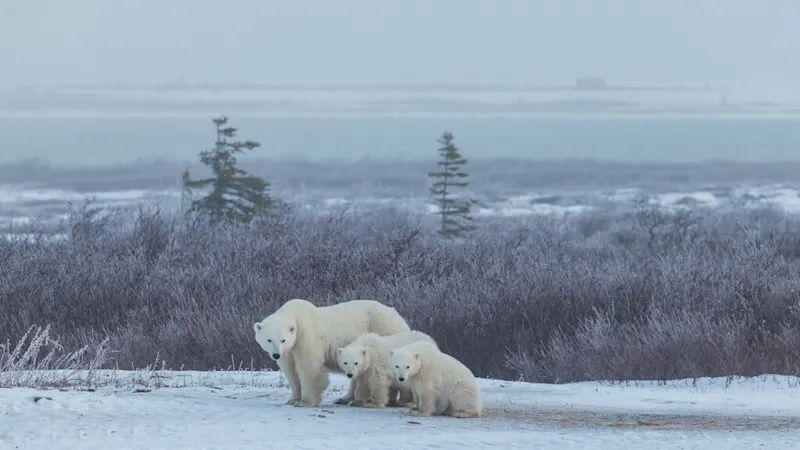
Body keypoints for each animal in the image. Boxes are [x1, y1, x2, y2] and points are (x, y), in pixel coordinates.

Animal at [253, 298, 410, 408]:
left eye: (283, 340)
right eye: (269, 339)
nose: (275, 355)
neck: (295, 314)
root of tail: (398, 315)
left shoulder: (306, 335)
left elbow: (309, 367)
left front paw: (305, 402)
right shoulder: (289, 351)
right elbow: (291, 371)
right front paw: (293, 399)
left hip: (383, 330)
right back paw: (344, 398)